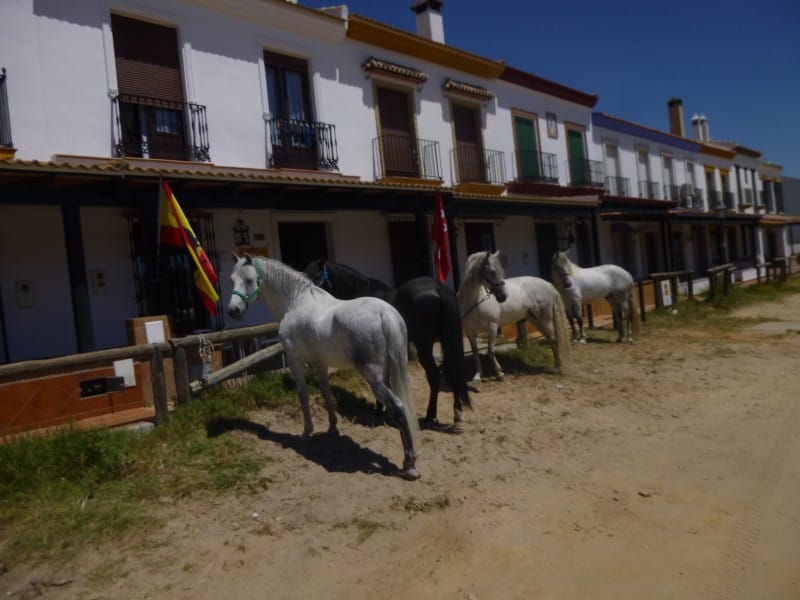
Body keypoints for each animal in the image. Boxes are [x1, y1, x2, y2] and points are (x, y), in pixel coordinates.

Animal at [227, 252, 422, 478]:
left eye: (249, 280)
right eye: (232, 279)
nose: (233, 311)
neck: (296, 301)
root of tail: (385, 314)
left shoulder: (294, 361)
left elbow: (303, 396)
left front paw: (306, 432)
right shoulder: (320, 363)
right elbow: (326, 392)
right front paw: (332, 428)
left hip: (374, 377)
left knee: (398, 407)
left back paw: (410, 465)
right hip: (388, 373)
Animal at [456, 251, 568, 382]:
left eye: (501, 271)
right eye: (492, 271)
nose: (503, 296)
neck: (475, 301)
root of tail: (548, 284)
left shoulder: (492, 327)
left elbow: (490, 350)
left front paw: (499, 374)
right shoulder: (470, 331)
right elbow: (475, 352)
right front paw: (478, 375)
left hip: (545, 319)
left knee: (554, 338)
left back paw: (558, 367)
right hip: (535, 319)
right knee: (551, 338)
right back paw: (556, 365)